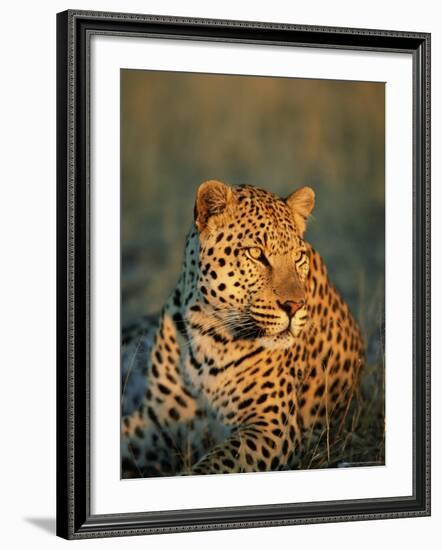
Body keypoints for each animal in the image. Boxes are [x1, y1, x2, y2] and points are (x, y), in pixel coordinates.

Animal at [121, 181, 366, 478]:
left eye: (299, 257)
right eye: (256, 253)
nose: (295, 305)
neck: (208, 330)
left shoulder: (271, 425)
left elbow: (214, 465)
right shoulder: (157, 420)